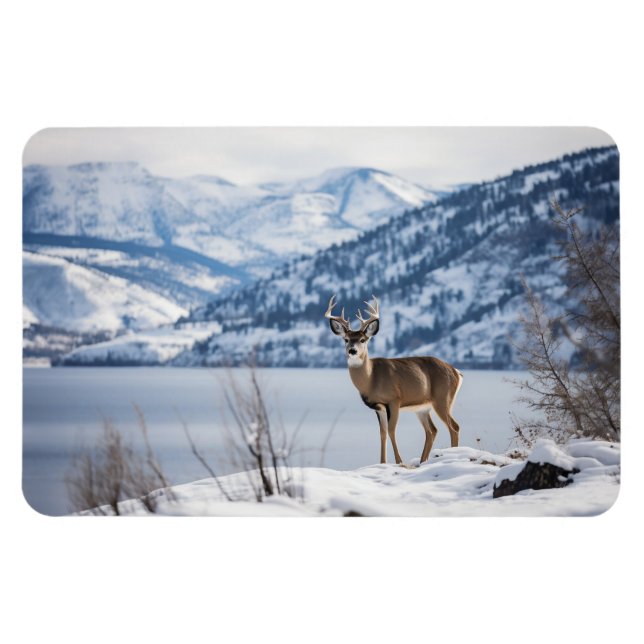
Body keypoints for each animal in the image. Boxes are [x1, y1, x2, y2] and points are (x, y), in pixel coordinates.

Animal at [325, 294, 463, 466]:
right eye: (346, 339)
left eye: (363, 340)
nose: (352, 350)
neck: (372, 380)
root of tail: (456, 372)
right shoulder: (378, 407)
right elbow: (382, 433)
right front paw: (382, 463)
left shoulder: (394, 399)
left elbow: (391, 430)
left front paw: (398, 461)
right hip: (423, 407)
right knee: (432, 430)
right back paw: (423, 461)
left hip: (443, 398)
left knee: (454, 427)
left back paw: (452, 455)